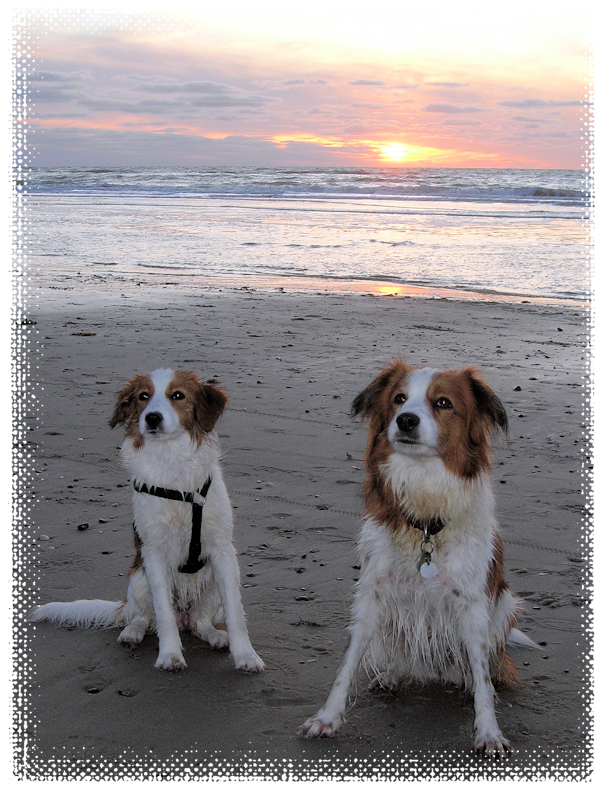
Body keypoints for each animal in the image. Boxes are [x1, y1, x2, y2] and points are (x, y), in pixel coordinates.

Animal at [30, 368, 264, 672]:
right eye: (143, 396)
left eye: (178, 395)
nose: (152, 417)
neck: (172, 462)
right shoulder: (153, 553)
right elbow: (163, 614)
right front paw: (169, 655)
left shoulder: (223, 551)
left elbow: (236, 615)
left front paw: (246, 655)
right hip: (139, 579)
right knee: (143, 618)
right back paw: (132, 633)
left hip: (211, 585)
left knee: (199, 623)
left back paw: (215, 635)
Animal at [298, 358, 536, 756]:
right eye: (398, 398)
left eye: (443, 403)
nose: (406, 420)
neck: (425, 518)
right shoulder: (373, 591)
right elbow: (348, 662)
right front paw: (327, 717)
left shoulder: (472, 603)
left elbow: (482, 673)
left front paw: (488, 730)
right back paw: (391, 674)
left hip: (505, 603)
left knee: (487, 665)